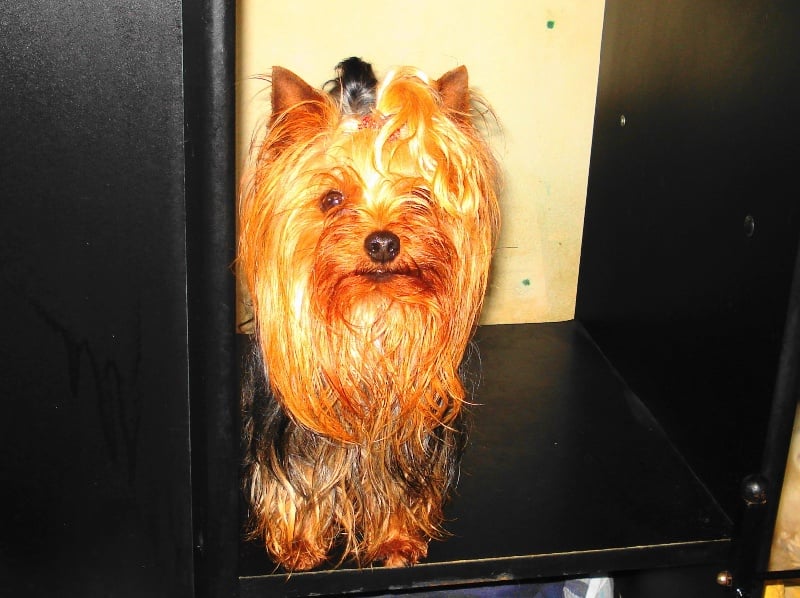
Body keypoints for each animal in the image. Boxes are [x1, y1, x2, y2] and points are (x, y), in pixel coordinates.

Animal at [238, 57, 500, 571]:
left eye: (421, 194)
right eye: (332, 199)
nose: (382, 242)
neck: (370, 315)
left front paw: (396, 539)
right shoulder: (287, 432)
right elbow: (295, 480)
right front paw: (299, 544)